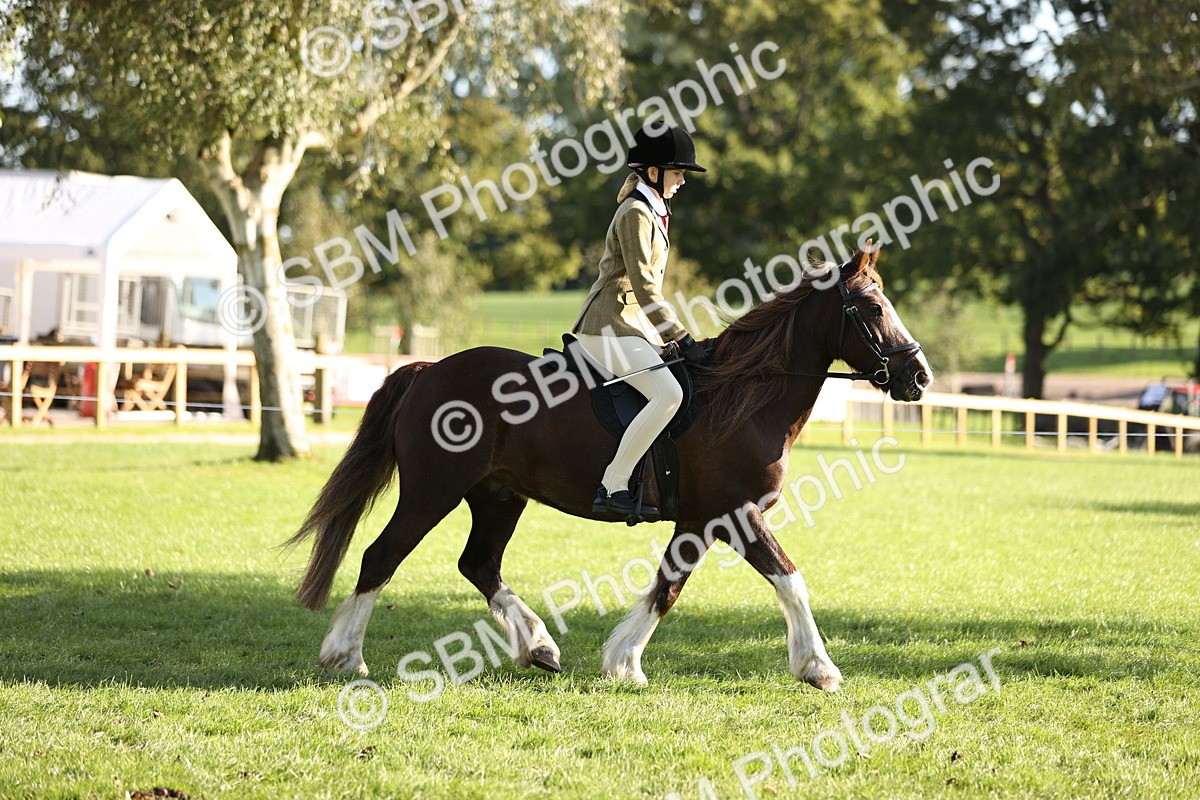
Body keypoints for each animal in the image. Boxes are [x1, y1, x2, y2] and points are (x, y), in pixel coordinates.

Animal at [283, 244, 932, 692]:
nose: (919, 377)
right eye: (873, 306)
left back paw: (538, 648)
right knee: (380, 557)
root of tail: (428, 370)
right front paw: (819, 668)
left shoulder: (699, 521)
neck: (744, 396)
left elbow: (668, 586)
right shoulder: (734, 513)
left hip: (498, 496)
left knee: (479, 565)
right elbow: (789, 578)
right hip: (431, 492)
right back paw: (345, 655)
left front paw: (623, 661)